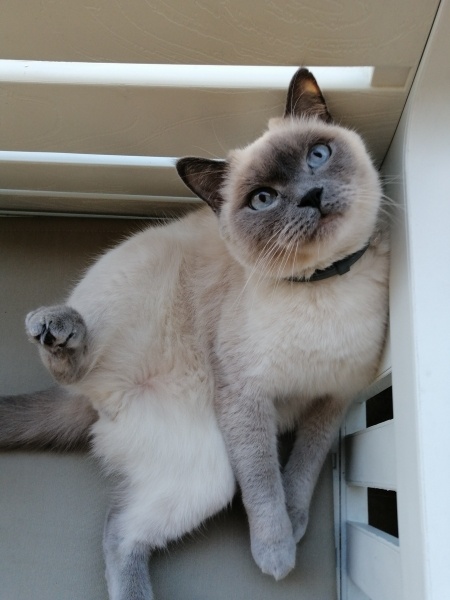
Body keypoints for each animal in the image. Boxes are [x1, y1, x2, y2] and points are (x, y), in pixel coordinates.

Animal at [0, 71, 386, 600]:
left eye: (318, 155)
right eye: (263, 199)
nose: (311, 195)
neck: (322, 287)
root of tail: (98, 400)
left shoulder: (333, 400)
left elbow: (301, 470)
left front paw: (294, 523)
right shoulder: (245, 398)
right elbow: (263, 480)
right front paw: (276, 551)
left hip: (201, 471)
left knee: (120, 528)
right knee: (76, 383)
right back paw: (59, 329)